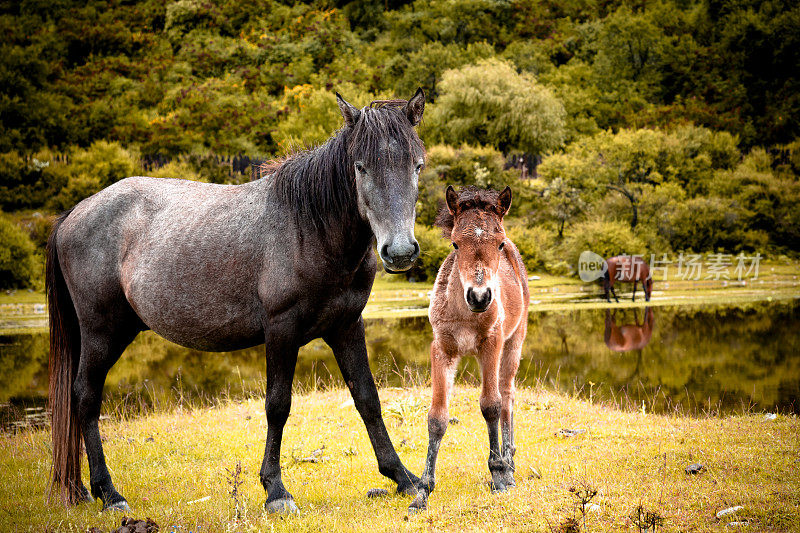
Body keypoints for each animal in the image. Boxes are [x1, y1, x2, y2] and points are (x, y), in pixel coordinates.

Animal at [47, 91, 428, 512]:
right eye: (360, 167)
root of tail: (74, 213)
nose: (399, 251)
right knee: (85, 398)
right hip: (101, 333)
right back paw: (110, 493)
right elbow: (278, 405)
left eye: (417, 165)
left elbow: (368, 399)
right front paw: (276, 491)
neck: (309, 229)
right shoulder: (281, 330)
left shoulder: (347, 327)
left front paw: (403, 478)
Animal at [412, 186, 532, 512]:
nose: (479, 297)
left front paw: (499, 475)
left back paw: (510, 465)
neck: (466, 314)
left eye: (499, 243)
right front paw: (422, 491)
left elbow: (491, 405)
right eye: (455, 243)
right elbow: (437, 417)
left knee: (507, 395)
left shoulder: (491, 343)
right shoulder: (441, 349)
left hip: (514, 342)